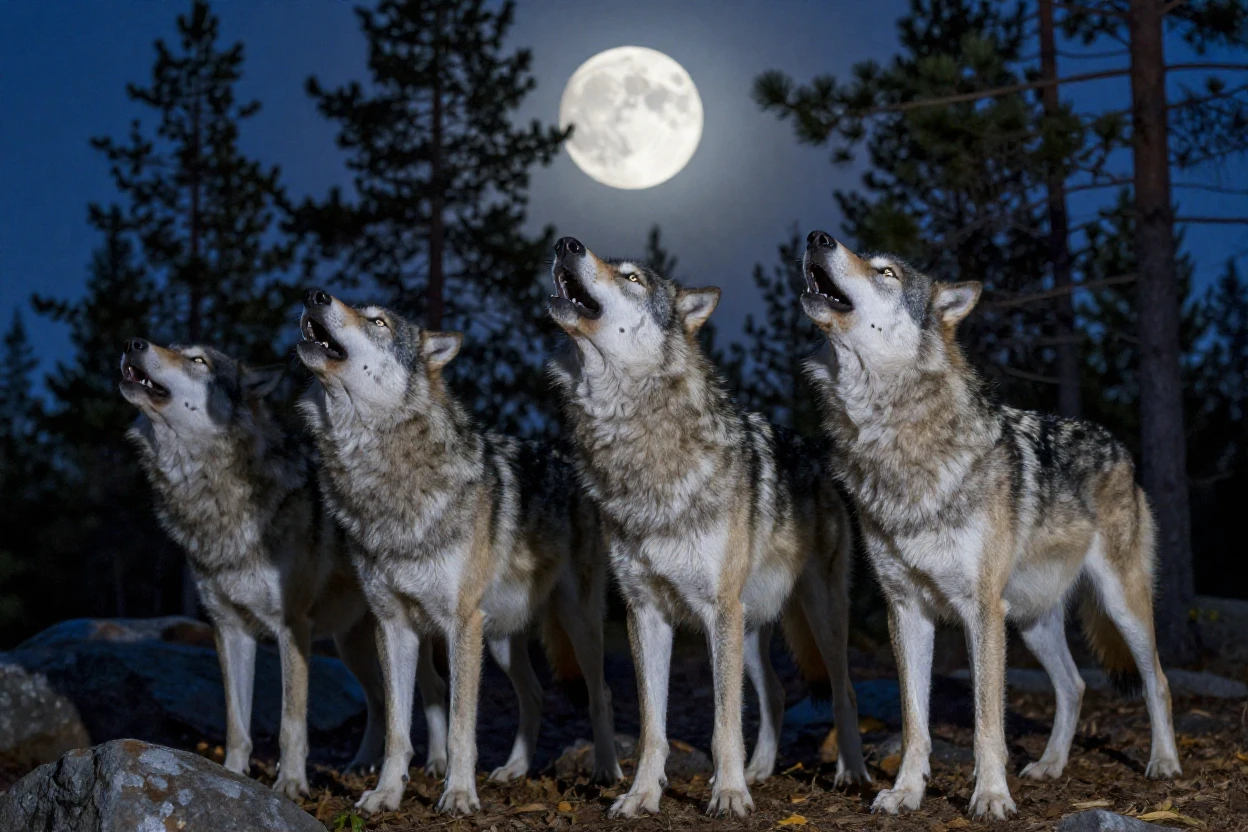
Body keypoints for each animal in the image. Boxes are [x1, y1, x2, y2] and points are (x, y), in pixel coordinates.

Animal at [119, 337, 398, 799]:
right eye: (170, 346)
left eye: (198, 360)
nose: (134, 343)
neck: (211, 498)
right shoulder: (229, 628)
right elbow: (236, 721)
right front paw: (230, 775)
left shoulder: (292, 627)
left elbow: (291, 723)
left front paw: (290, 784)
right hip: (350, 646)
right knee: (379, 701)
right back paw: (361, 766)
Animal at [294, 289, 620, 817]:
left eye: (378, 322)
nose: (314, 295)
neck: (382, 481)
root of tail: (571, 462)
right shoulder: (394, 625)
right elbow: (398, 729)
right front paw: (386, 793)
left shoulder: (460, 624)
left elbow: (462, 724)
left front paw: (460, 794)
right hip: (501, 638)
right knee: (533, 695)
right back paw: (514, 770)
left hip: (576, 624)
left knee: (601, 693)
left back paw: (608, 771)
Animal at [546, 236, 870, 820]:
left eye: (632, 278)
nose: (566, 244)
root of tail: (817, 453)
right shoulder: (646, 613)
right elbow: (653, 727)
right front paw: (642, 795)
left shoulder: (719, 610)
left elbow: (722, 724)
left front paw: (729, 794)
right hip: (752, 625)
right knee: (776, 695)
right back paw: (761, 770)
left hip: (816, 613)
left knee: (843, 691)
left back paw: (850, 774)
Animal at [798, 231, 1181, 820]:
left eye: (886, 271)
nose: (818, 238)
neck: (894, 437)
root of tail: (1119, 446)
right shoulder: (906, 609)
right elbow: (914, 722)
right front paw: (906, 792)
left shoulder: (980, 610)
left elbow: (986, 723)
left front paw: (991, 796)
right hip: (1028, 620)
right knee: (1073, 686)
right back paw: (1050, 765)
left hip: (1119, 605)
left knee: (1156, 681)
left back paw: (1163, 763)